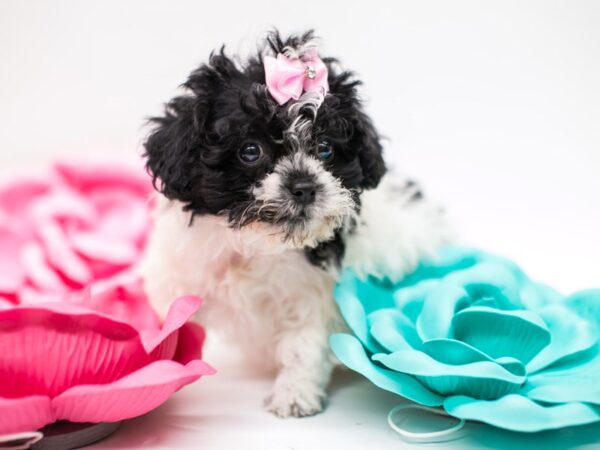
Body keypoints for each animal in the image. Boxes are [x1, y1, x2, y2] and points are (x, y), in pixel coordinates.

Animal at [139, 30, 450, 418]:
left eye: (326, 148)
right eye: (250, 150)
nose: (304, 186)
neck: (258, 246)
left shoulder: (318, 296)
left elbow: (304, 344)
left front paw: (294, 394)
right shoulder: (182, 270)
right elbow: (172, 322)